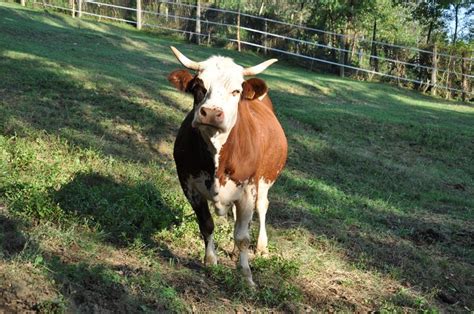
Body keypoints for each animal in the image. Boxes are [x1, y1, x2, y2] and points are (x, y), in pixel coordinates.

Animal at [168, 46, 286, 284]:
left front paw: (246, 274)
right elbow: (207, 224)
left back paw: (261, 247)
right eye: (199, 87)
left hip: (264, 181)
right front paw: (210, 261)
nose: (212, 113)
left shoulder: (248, 190)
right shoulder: (189, 186)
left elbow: (242, 236)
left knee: (262, 207)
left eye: (236, 91)